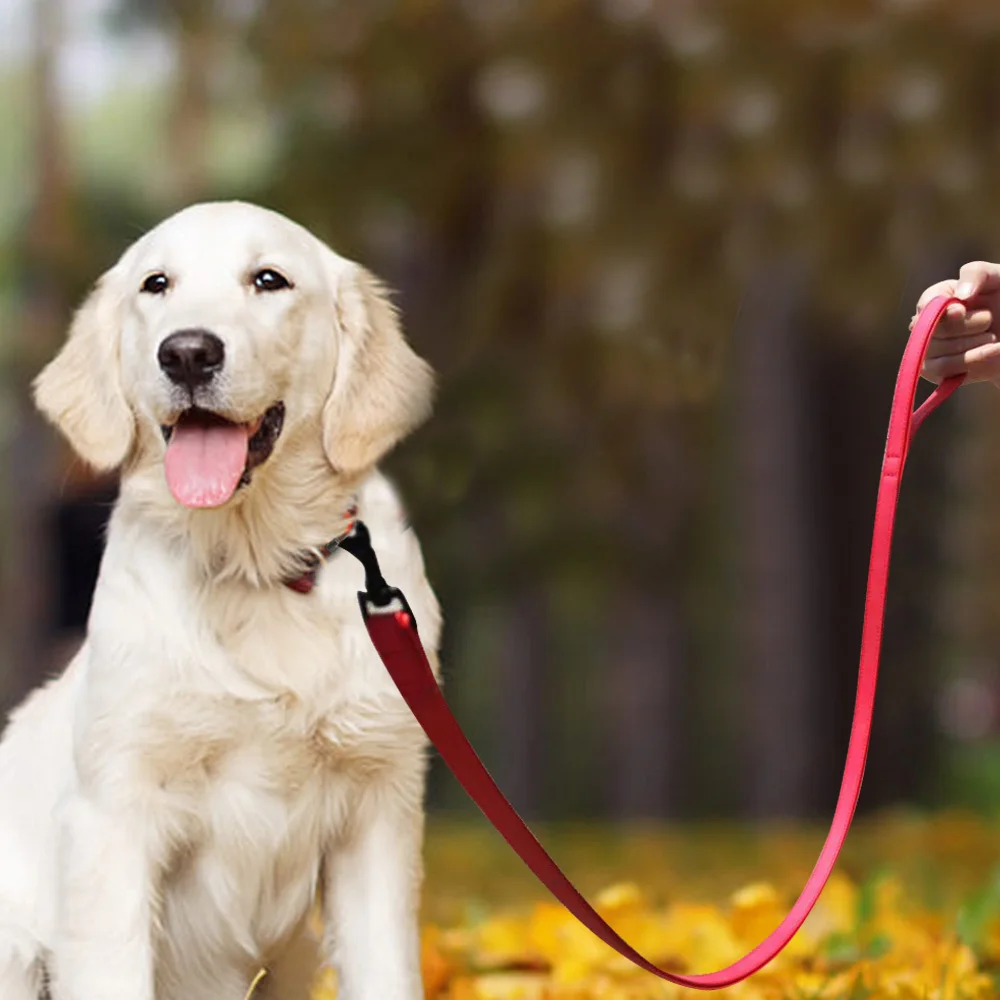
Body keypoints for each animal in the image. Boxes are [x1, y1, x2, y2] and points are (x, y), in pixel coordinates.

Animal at [0, 201, 442, 1000]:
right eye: (157, 284)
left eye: (269, 279)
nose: (187, 353)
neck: (256, 565)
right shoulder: (114, 812)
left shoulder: (379, 807)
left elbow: (387, 970)